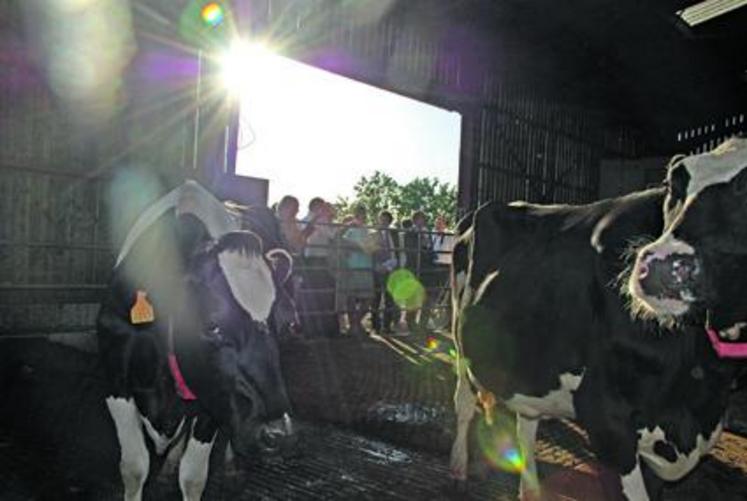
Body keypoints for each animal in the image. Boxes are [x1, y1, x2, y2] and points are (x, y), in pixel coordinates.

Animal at [98, 182, 300, 500]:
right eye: (213, 327)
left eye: (286, 324)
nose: (280, 435)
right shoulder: (115, 377)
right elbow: (134, 468)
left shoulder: (215, 397)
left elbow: (193, 478)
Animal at [448, 138, 747, 500]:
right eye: (674, 183)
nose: (663, 267)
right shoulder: (606, 420)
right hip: (460, 336)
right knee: (464, 402)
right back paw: (459, 467)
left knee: (526, 425)